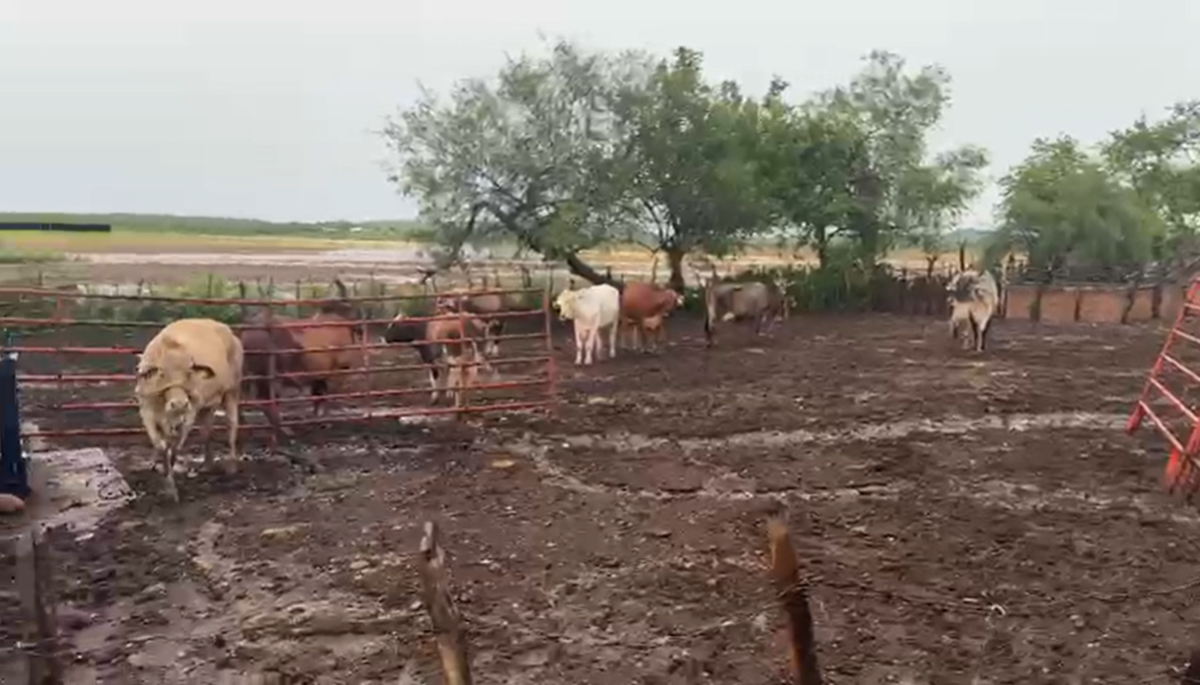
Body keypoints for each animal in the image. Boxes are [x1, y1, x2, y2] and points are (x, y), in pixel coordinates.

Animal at [134, 318, 244, 503]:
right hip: (208, 405)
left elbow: (175, 449)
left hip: (231, 391)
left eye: (189, 373)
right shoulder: (147, 411)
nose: (179, 404)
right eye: (162, 373)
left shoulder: (189, 414)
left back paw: (232, 465)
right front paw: (162, 473)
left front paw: (170, 489)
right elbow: (160, 445)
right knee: (206, 432)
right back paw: (207, 464)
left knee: (232, 425)